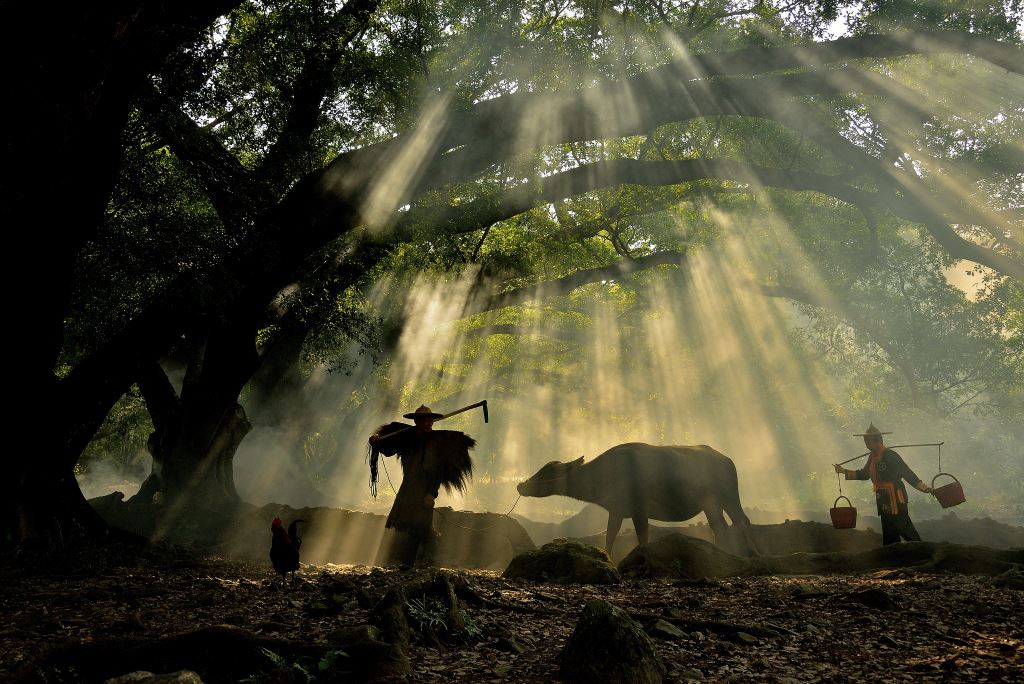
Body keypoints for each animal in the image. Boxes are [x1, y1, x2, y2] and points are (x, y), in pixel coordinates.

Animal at [516, 444, 757, 557]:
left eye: (547, 472)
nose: (521, 485)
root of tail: (728, 460)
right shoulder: (617, 510)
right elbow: (609, 536)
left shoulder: (639, 508)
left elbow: (643, 537)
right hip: (710, 503)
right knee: (720, 526)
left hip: (729, 495)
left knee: (742, 520)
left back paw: (754, 554)